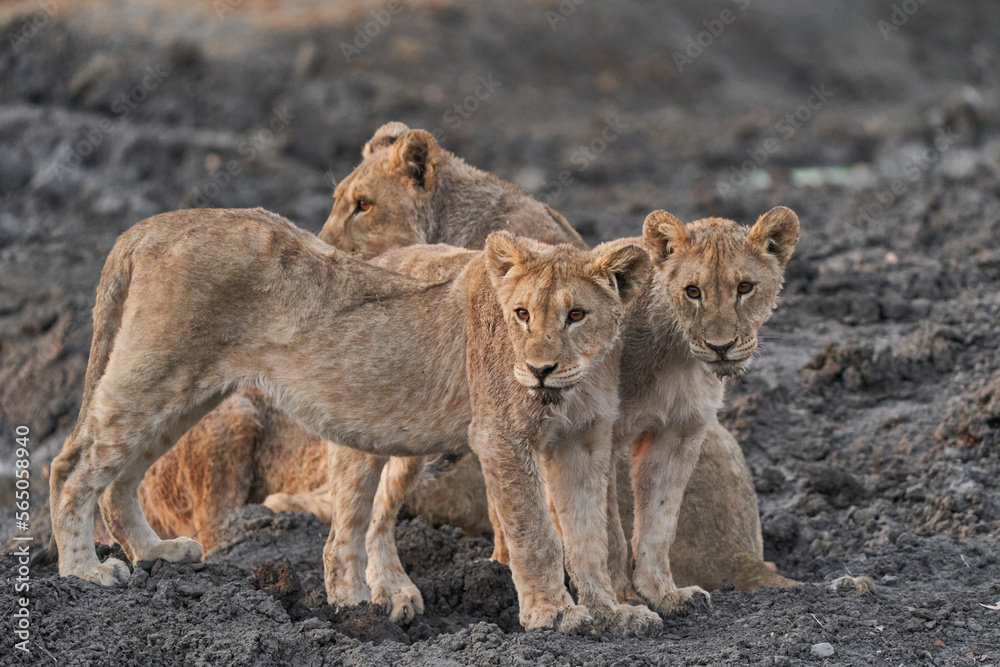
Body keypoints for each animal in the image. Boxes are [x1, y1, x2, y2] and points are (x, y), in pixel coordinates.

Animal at [46, 207, 658, 634]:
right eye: (522, 314)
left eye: (576, 315)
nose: (539, 369)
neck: (577, 382)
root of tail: (149, 226)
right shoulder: (502, 436)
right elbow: (537, 533)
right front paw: (554, 614)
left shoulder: (583, 443)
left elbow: (588, 538)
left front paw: (611, 613)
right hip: (155, 374)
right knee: (72, 465)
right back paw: (84, 573)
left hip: (187, 394)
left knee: (122, 478)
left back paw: (157, 554)